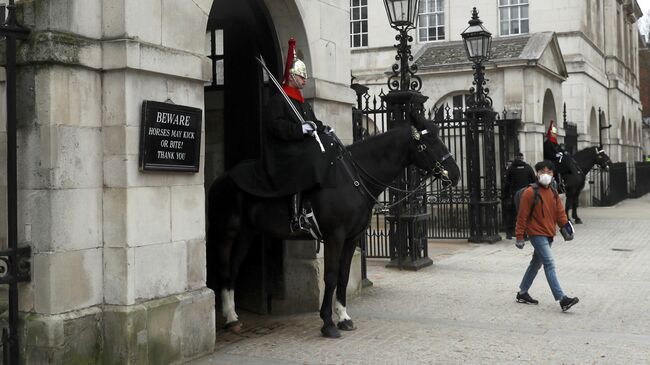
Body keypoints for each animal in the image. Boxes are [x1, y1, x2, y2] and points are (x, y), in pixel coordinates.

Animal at [205, 117, 458, 338]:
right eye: (429, 142)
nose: (454, 174)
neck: (353, 179)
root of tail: (221, 179)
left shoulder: (352, 237)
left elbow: (343, 275)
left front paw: (344, 317)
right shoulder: (334, 236)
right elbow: (331, 275)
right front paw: (327, 323)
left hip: (247, 233)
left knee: (234, 269)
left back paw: (233, 317)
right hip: (227, 232)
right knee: (224, 268)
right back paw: (229, 318)